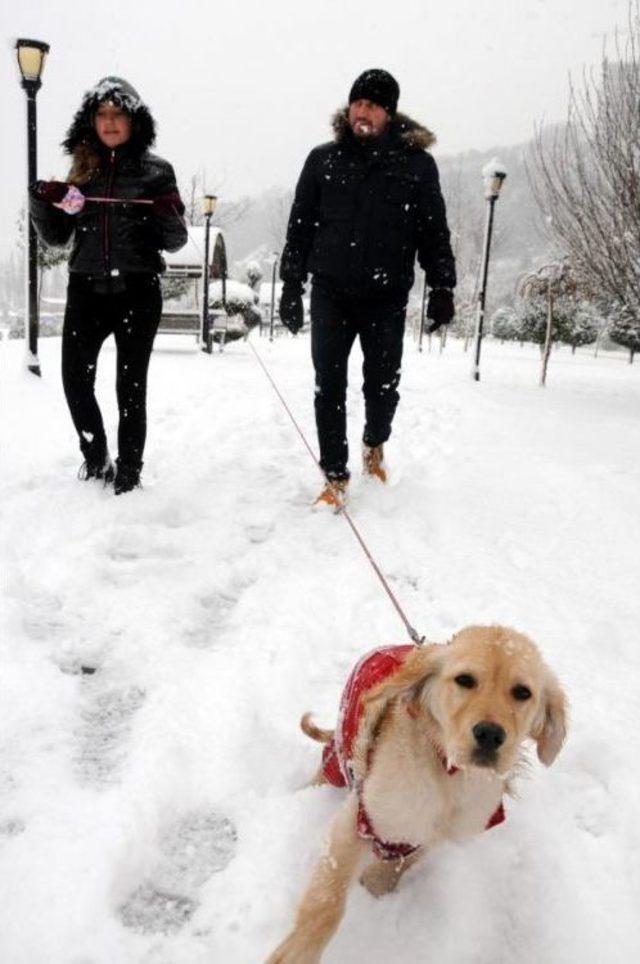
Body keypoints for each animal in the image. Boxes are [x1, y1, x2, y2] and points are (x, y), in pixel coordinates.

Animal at [264, 624, 564, 964]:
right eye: (465, 680)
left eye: (523, 692)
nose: (489, 734)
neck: (448, 772)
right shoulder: (360, 817)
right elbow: (327, 902)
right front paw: (297, 952)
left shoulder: (432, 832)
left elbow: (402, 861)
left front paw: (377, 885)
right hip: (339, 756)